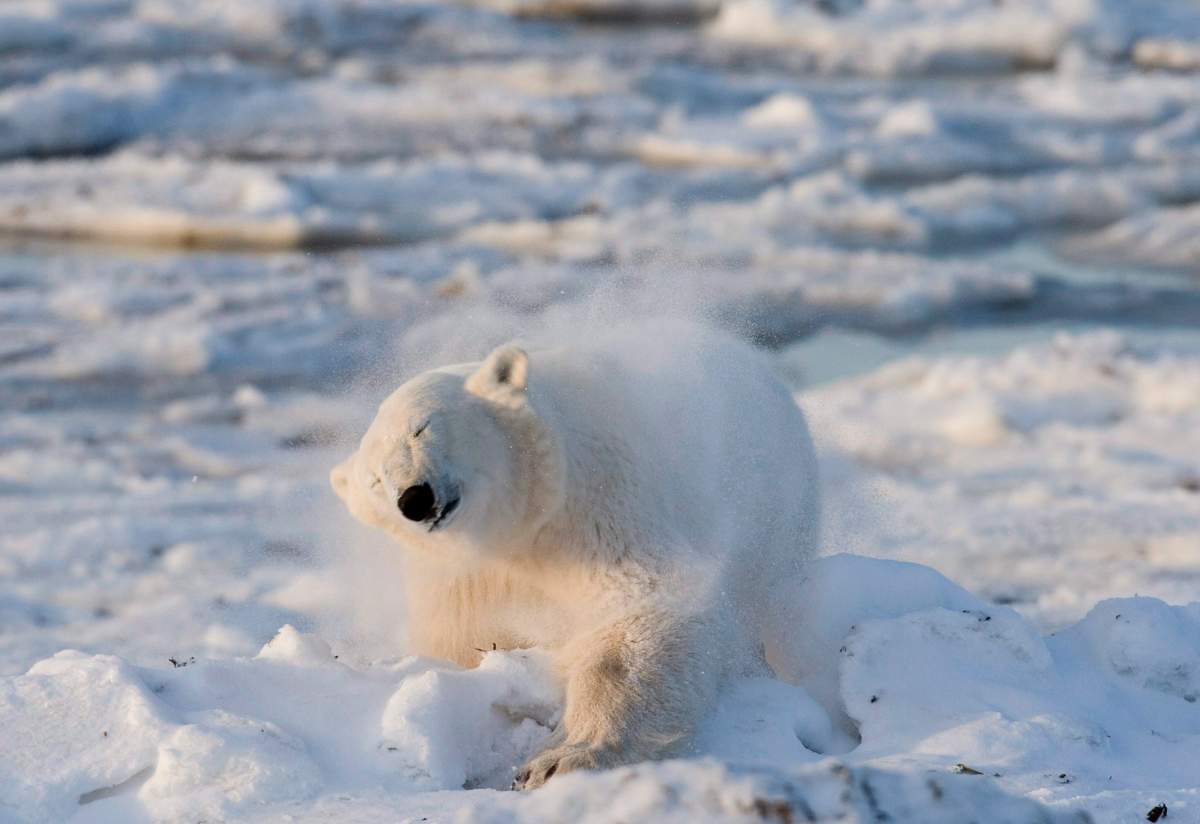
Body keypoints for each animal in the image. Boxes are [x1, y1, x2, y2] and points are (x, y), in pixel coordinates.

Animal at [330, 321, 820, 789]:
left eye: (423, 427)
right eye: (374, 480)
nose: (413, 499)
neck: (516, 525)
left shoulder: (597, 508)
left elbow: (640, 615)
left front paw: (560, 760)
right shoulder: (461, 574)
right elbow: (457, 640)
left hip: (775, 512)